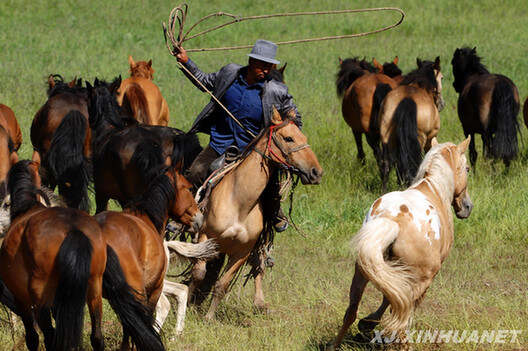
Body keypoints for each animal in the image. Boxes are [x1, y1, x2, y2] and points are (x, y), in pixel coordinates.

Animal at [180, 107, 322, 322]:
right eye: (288, 138)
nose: (316, 172)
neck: (239, 202)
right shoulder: (205, 236)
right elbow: (198, 273)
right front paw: (187, 304)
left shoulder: (242, 251)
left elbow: (222, 285)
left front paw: (209, 317)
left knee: (258, 266)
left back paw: (260, 303)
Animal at [330, 137, 474, 350]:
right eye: (467, 168)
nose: (467, 207)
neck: (436, 189)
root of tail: (392, 221)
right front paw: (369, 323)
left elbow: (390, 297)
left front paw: (367, 323)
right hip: (417, 280)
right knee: (401, 318)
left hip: (362, 271)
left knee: (352, 310)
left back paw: (336, 344)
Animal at [378, 57, 444, 191]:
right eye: (442, 77)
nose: (441, 104)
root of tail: (407, 99)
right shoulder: (431, 138)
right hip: (420, 138)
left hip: (387, 139)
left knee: (388, 165)